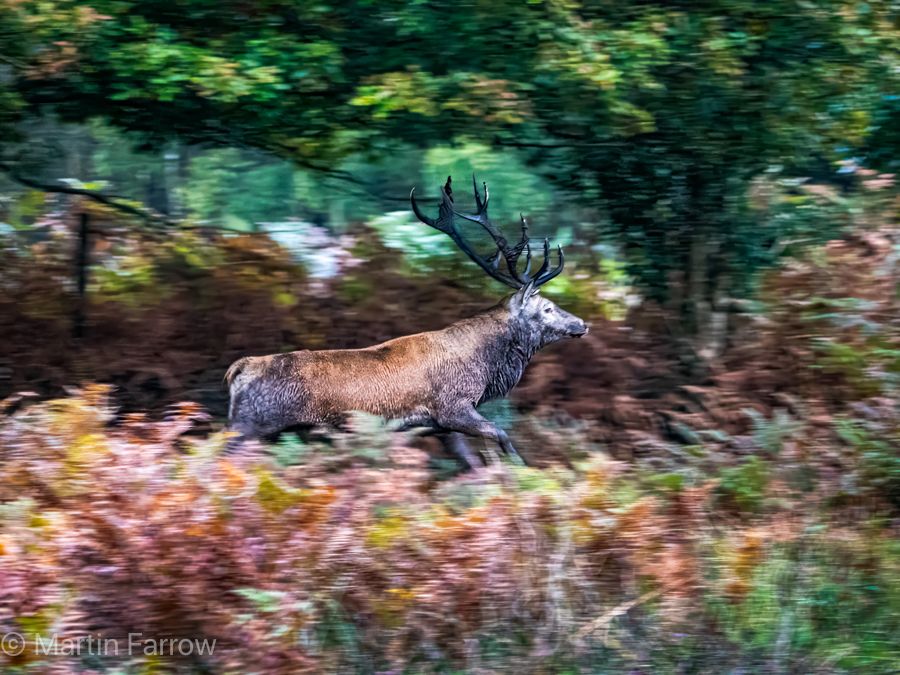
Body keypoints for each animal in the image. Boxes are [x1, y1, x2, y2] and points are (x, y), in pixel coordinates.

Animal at [225, 176, 588, 467]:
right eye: (548, 308)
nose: (583, 323)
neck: (484, 370)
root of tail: (239, 370)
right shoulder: (452, 406)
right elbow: (503, 436)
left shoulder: (442, 427)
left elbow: (473, 464)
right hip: (250, 424)